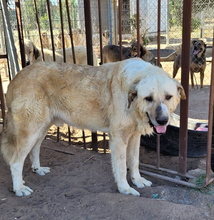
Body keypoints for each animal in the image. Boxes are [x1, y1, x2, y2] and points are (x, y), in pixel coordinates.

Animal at [0, 58, 185, 196]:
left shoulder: (134, 137)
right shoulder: (118, 139)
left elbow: (134, 162)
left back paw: (37, 169)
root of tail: (17, 77)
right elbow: (121, 167)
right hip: (30, 131)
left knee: (34, 150)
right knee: (15, 161)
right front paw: (125, 189)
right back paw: (19, 188)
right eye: (148, 98)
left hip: (41, 129)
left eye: (168, 97)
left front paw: (138, 181)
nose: (162, 121)